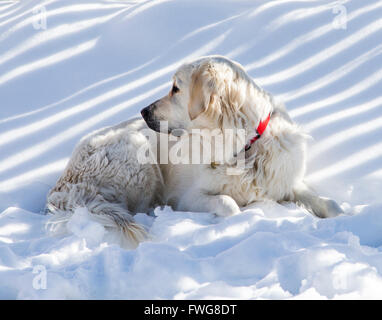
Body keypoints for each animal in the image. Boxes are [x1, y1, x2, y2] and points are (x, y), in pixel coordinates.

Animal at [46, 56, 344, 249]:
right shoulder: (188, 197)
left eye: (175, 88)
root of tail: (62, 185)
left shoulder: (285, 180)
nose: (143, 111)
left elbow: (330, 203)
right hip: (138, 152)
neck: (242, 146)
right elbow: (228, 203)